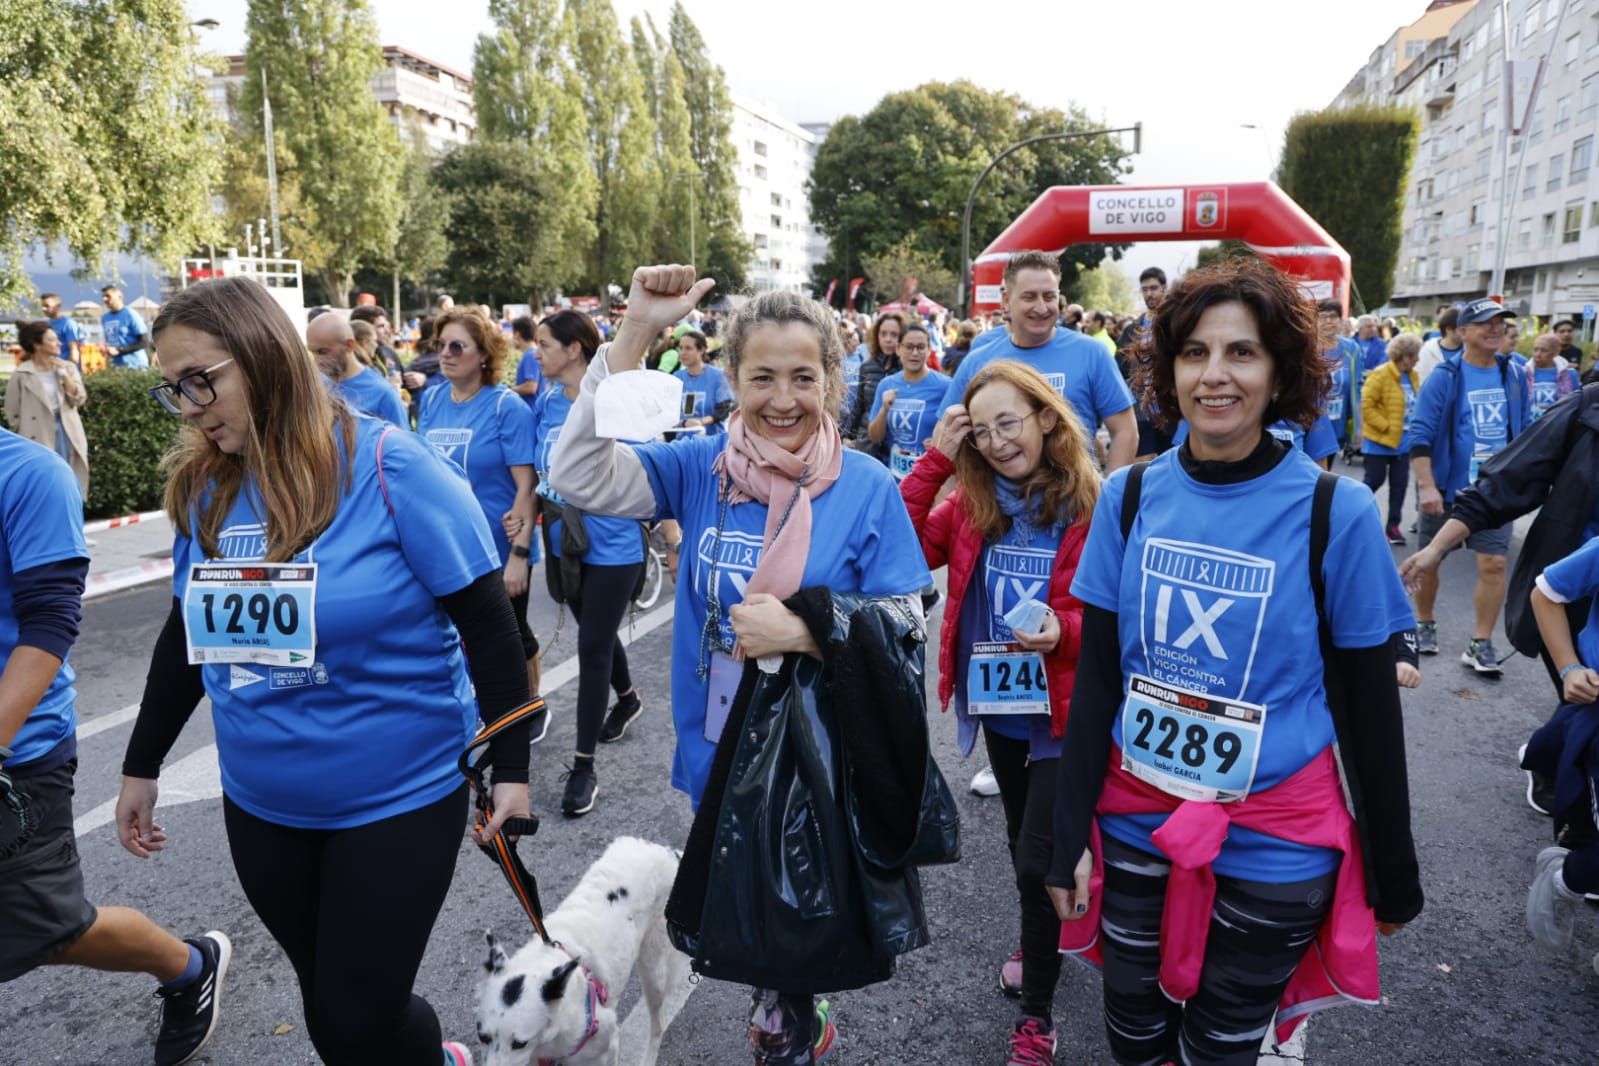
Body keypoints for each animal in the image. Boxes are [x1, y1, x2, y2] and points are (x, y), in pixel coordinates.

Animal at [479, 837, 693, 1061]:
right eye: (482, 1037)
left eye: (520, 1043)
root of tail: (668, 852)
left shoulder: (609, 1043)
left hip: (653, 971)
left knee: (658, 1024)